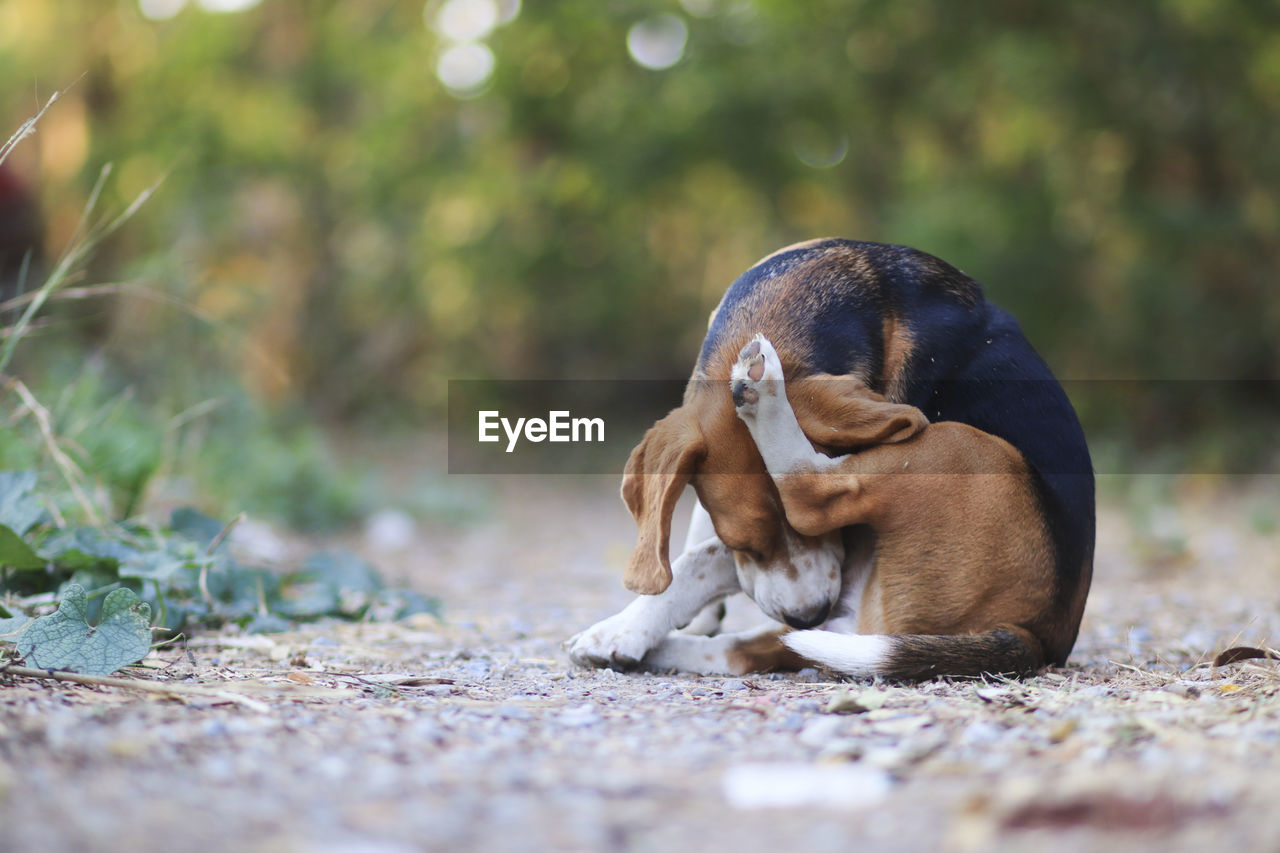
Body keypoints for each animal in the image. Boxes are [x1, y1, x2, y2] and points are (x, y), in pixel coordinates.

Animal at [565, 236, 1095, 676]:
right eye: (748, 544)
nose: (809, 614)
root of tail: (1037, 638)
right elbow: (706, 547)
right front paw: (641, 625)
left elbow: (708, 553)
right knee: (754, 650)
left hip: (966, 449)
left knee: (810, 491)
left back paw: (763, 393)